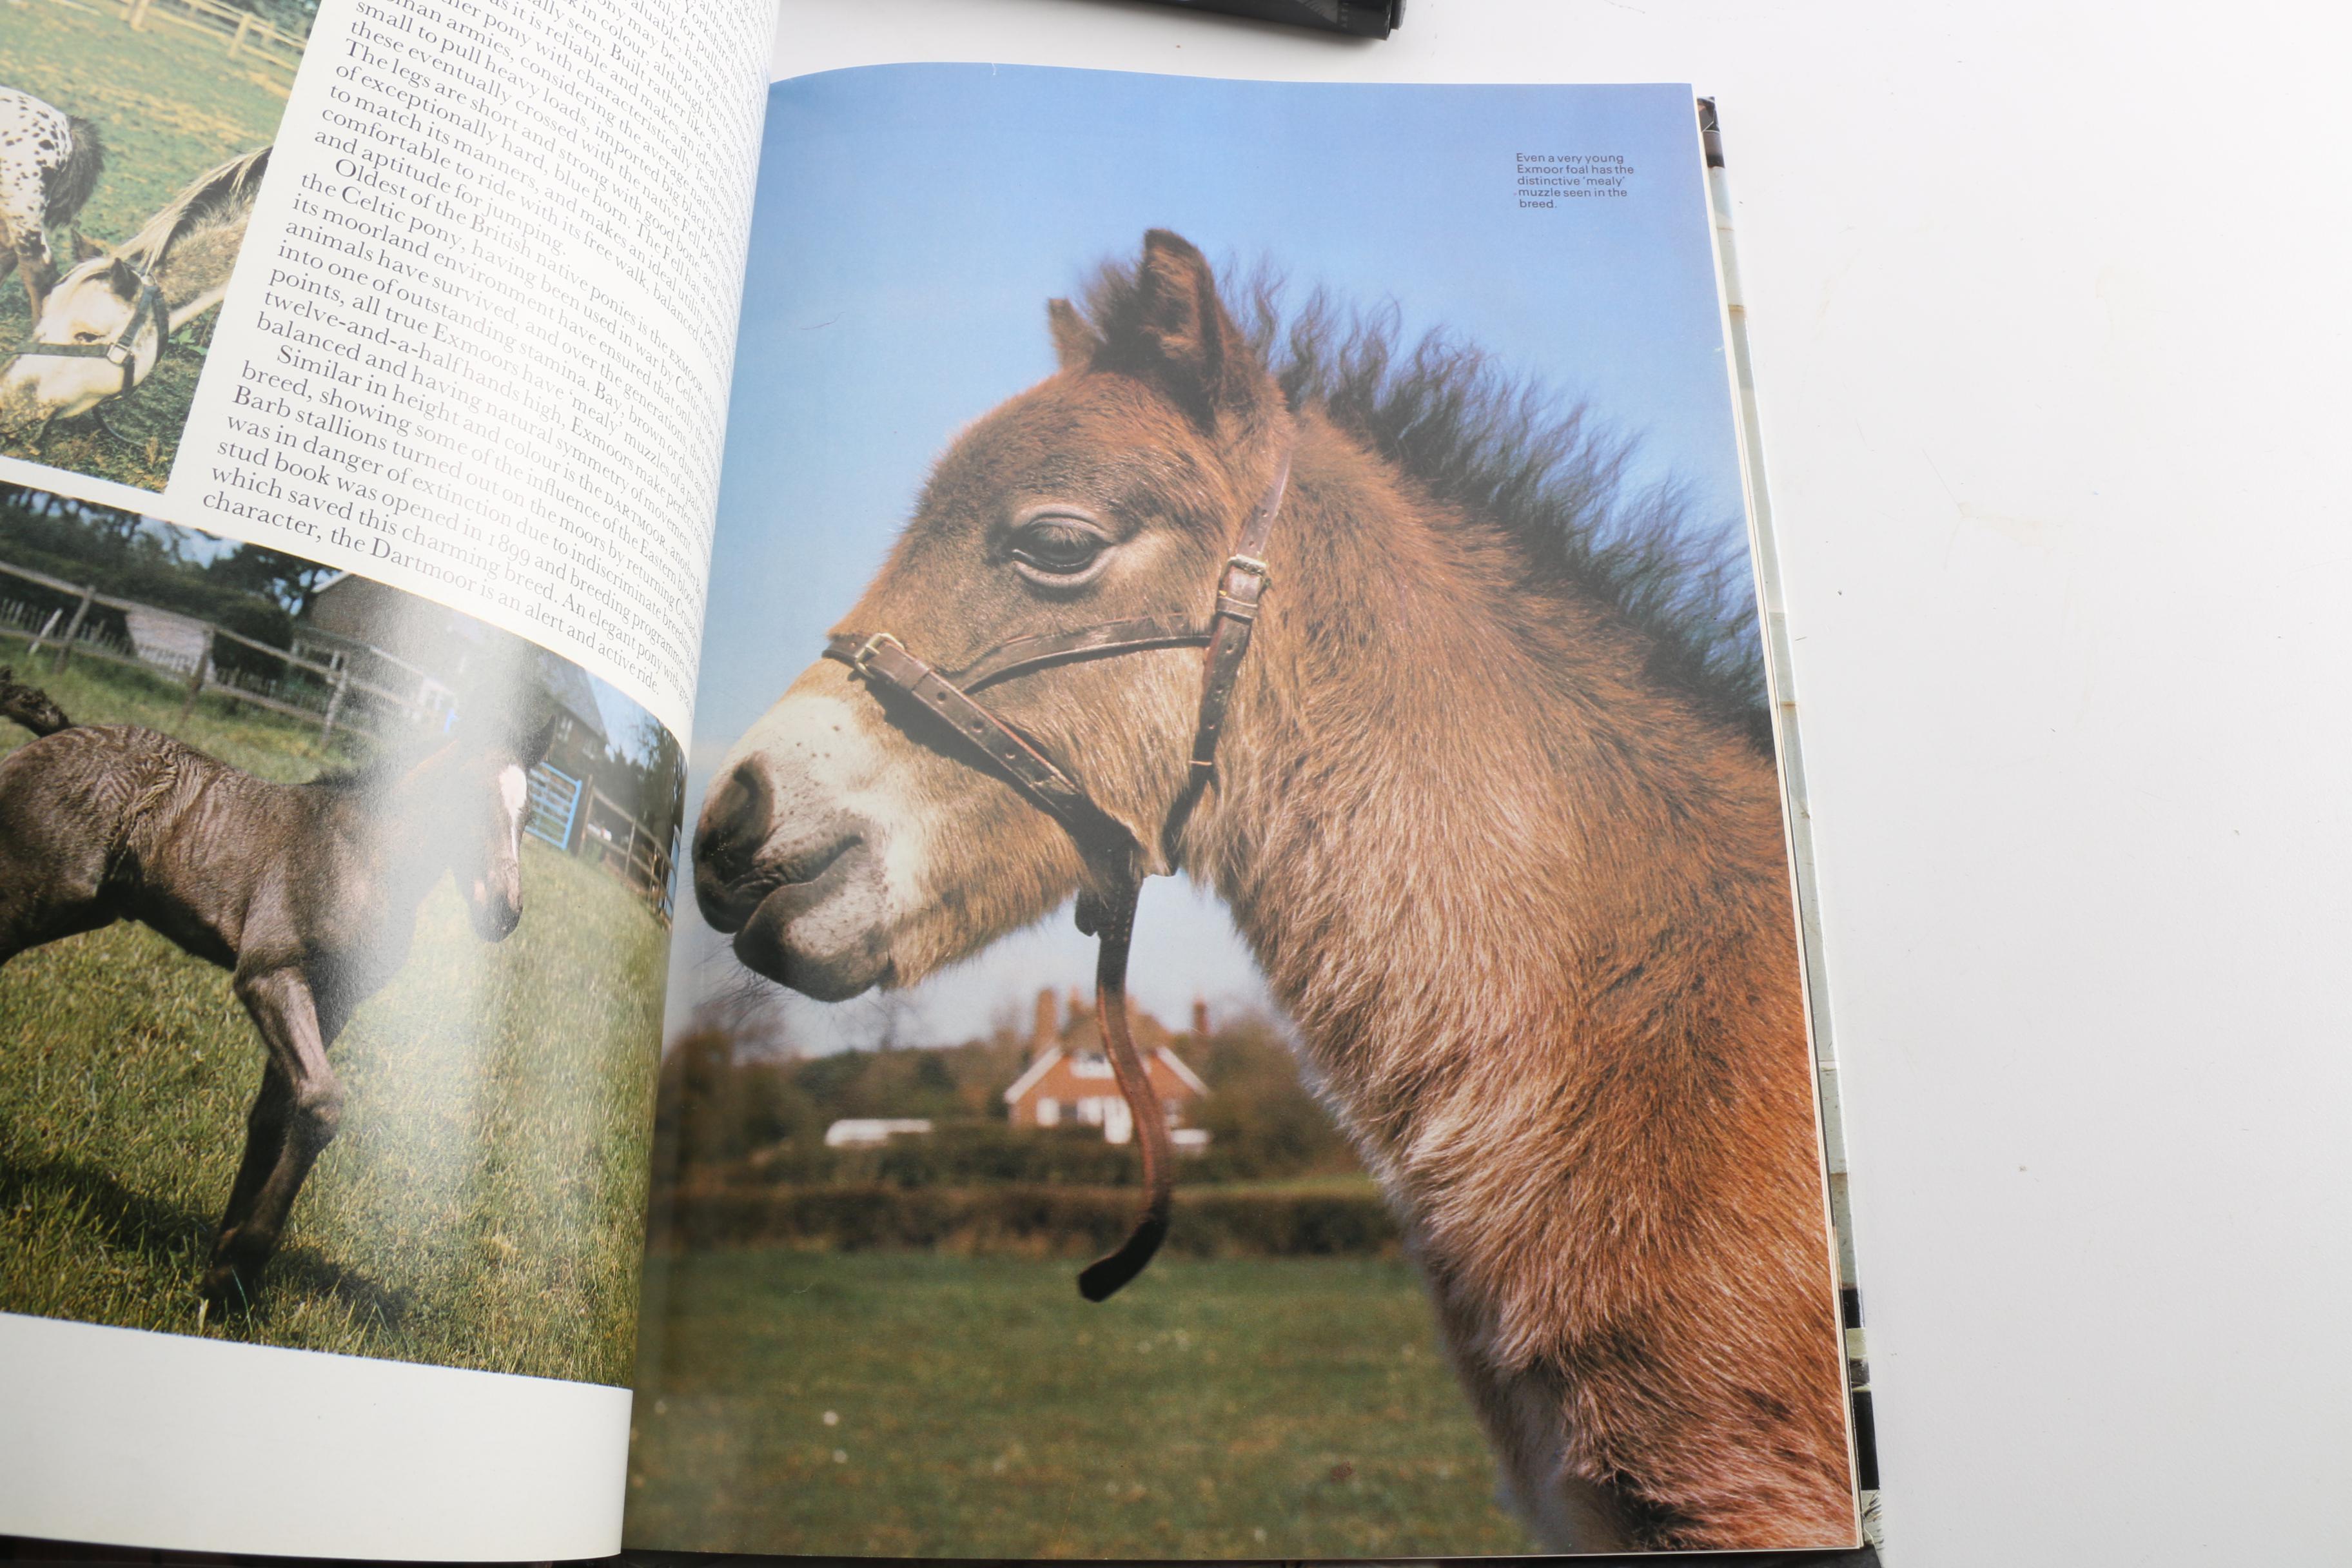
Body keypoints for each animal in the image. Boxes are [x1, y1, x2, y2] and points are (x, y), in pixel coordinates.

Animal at [0, 666, 555, 1309]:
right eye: (465, 802)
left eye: (528, 815)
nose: (504, 913)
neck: (363, 856)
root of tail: (56, 734)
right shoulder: (269, 975)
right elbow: (320, 1104)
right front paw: (242, 1259)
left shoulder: (333, 1003)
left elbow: (273, 1114)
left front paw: (222, 1272)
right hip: (36, 895)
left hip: (76, 907)